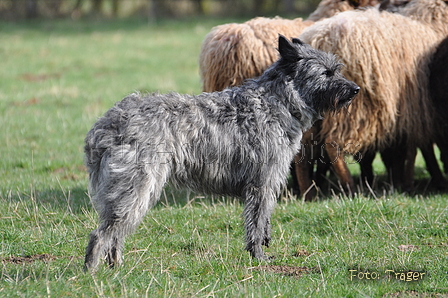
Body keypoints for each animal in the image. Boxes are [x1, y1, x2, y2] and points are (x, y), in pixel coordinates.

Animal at [83, 35, 356, 270]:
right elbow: (256, 223)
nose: (356, 89)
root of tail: (107, 124)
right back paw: (93, 271)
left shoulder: (268, 183)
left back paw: (116, 267)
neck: (278, 101)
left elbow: (265, 219)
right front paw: (258, 256)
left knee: (114, 235)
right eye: (326, 72)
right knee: (101, 234)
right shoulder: (261, 183)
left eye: (336, 69)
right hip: (136, 188)